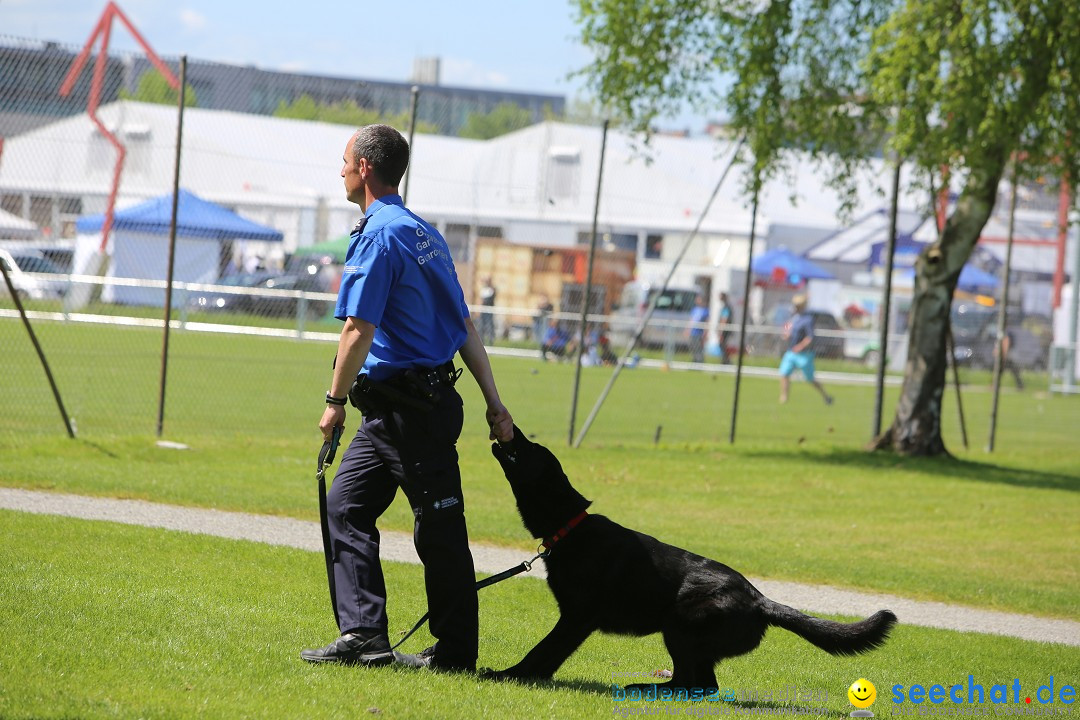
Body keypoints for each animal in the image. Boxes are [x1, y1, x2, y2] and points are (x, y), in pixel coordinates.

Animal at [486, 431, 898, 690]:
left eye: (529, 447)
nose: (510, 428)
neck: (569, 527)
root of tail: (760, 600)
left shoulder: (576, 618)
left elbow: (543, 650)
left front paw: (509, 675)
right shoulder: (575, 621)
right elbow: (550, 656)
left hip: (679, 622)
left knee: (690, 683)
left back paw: (640, 688)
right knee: (703, 686)